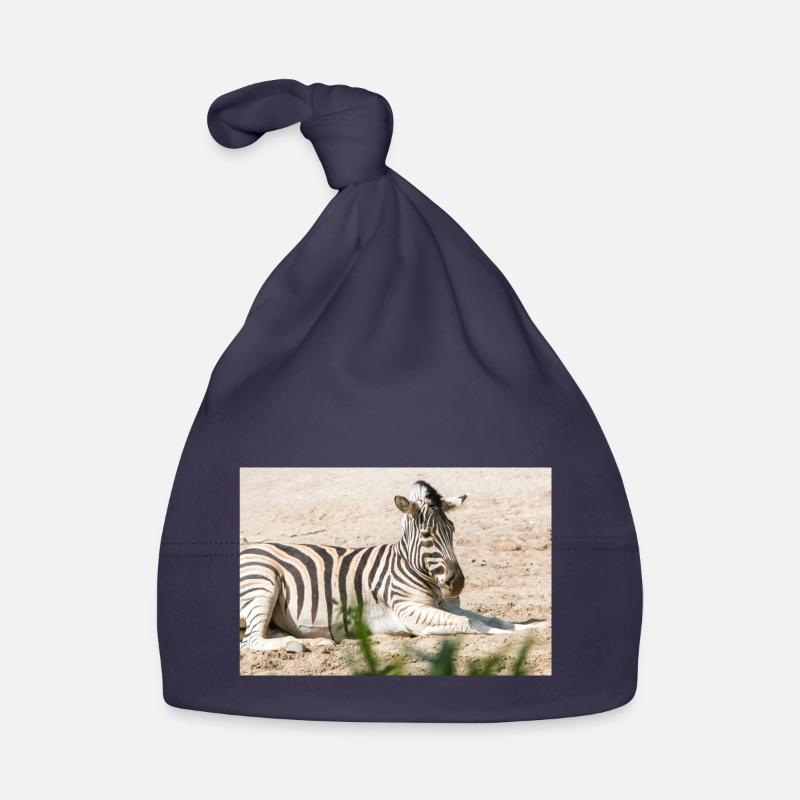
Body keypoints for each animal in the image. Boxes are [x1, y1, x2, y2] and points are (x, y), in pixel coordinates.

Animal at [240, 480, 544, 652]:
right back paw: (297, 644)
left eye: (453, 530)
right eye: (427, 535)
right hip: (263, 582)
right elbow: (473, 624)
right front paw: (507, 636)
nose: (457, 583)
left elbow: (492, 618)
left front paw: (532, 627)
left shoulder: (445, 606)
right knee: (252, 641)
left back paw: (312, 643)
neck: (410, 567)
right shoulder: (410, 611)